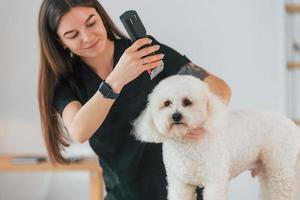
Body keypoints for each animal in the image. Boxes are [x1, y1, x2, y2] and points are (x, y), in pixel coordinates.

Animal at [131, 74, 300, 200]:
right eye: (167, 103)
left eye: (187, 102)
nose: (176, 116)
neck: (188, 145)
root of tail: (290, 124)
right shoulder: (180, 184)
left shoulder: (215, 181)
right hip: (268, 170)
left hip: (280, 170)